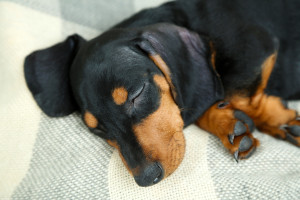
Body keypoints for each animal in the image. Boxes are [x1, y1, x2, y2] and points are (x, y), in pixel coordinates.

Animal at [24, 0, 300, 187]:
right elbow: (205, 103)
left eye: (136, 94)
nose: (147, 179)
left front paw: (278, 119)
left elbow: (234, 91)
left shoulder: (254, 46)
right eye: (97, 129)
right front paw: (230, 125)